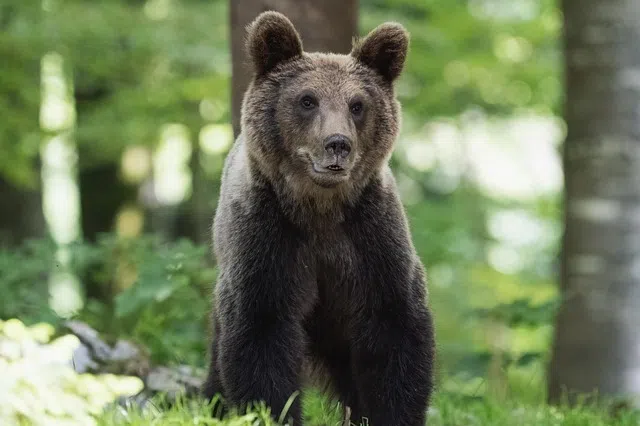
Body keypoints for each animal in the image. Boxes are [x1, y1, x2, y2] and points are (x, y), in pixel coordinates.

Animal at [202, 11, 435, 426]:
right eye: (307, 100)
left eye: (357, 104)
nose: (338, 144)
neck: (320, 209)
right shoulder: (268, 240)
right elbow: (260, 333)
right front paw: (272, 411)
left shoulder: (371, 240)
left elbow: (395, 329)